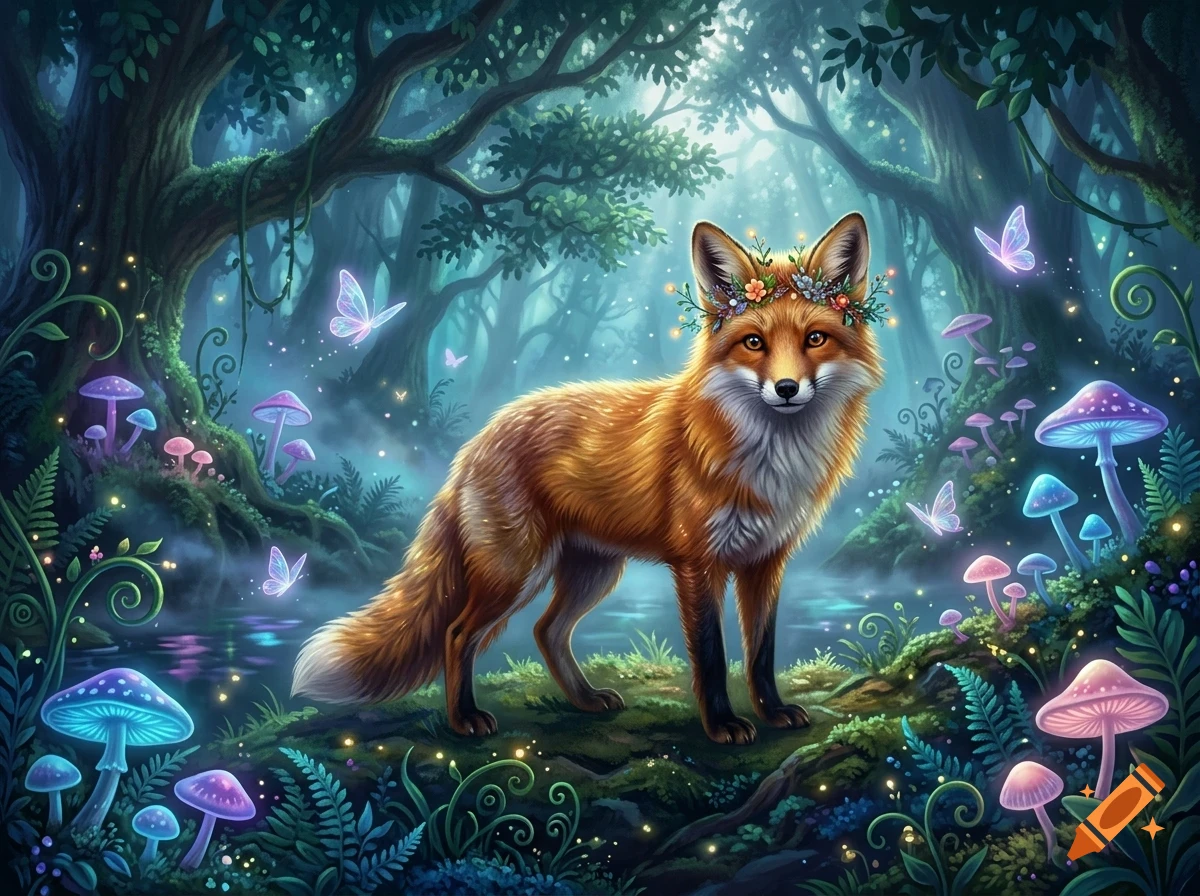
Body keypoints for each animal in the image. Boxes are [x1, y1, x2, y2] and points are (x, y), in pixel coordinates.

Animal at [292, 212, 884, 745]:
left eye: (814, 339)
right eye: (754, 343)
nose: (786, 389)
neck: (770, 461)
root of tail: (479, 438)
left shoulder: (765, 562)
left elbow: (761, 654)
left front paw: (773, 711)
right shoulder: (698, 564)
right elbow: (713, 658)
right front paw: (721, 726)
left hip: (593, 571)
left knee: (546, 631)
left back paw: (584, 700)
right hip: (517, 570)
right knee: (459, 634)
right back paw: (464, 720)